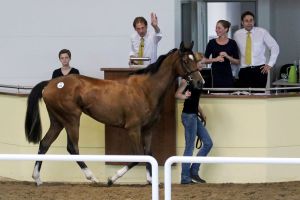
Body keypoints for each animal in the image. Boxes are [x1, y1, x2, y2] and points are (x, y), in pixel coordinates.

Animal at [25, 41, 204, 187]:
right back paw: (93, 178)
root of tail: (50, 84)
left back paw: (37, 178)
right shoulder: (133, 129)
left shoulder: (147, 129)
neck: (146, 90)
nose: (200, 82)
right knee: (72, 147)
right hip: (72, 119)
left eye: (195, 59)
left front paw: (151, 180)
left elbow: (149, 154)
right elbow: (138, 156)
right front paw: (111, 179)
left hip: (58, 121)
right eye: (186, 60)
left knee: (44, 143)